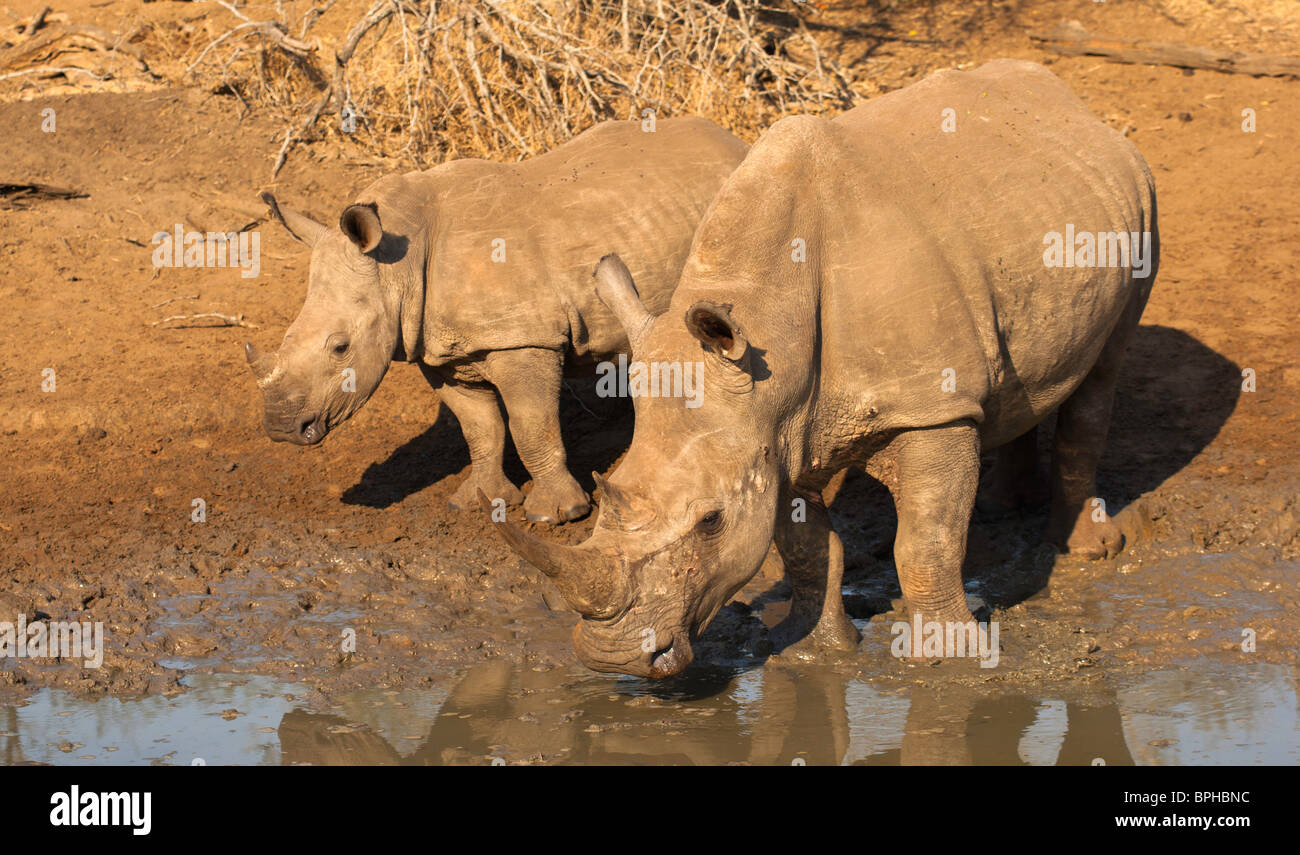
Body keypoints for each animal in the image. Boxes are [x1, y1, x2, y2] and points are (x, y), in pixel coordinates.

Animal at [248, 116, 748, 522]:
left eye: (340, 347)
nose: (281, 429)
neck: (397, 266)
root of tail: (736, 142)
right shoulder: (442, 349)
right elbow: (480, 428)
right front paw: (479, 502)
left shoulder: (523, 337)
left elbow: (530, 425)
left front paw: (557, 514)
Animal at [488, 58, 1159, 670]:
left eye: (711, 522)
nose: (615, 659)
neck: (767, 316)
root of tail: (1077, 104)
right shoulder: (774, 424)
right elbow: (807, 546)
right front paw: (811, 650)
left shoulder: (930, 407)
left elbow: (926, 542)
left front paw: (949, 660)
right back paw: (1003, 506)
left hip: (1144, 200)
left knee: (1103, 375)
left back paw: (1090, 551)